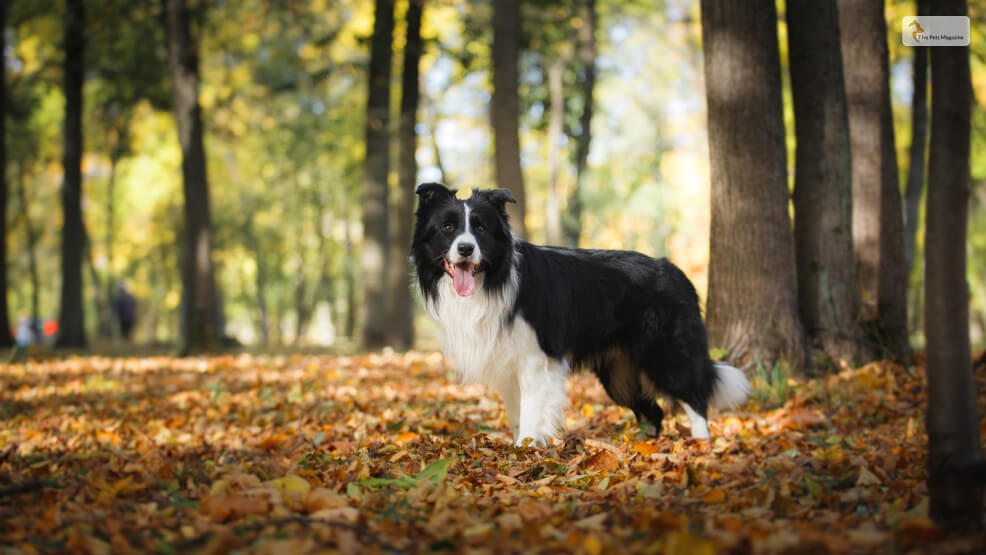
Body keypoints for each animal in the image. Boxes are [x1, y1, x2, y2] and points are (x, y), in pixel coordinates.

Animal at [408, 184, 744, 448]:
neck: (492, 280)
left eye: (480, 229)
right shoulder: (506, 362)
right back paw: (643, 449)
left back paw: (701, 446)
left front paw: (526, 450)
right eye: (448, 228)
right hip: (618, 374)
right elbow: (517, 413)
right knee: (654, 412)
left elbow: (531, 412)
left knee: (695, 399)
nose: (465, 249)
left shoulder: (535, 359)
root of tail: (676, 271)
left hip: (665, 353)